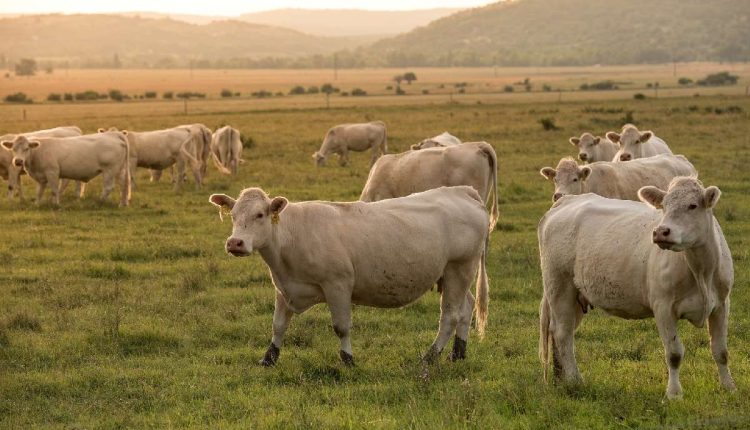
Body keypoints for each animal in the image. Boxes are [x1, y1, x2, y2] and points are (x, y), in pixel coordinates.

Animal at [0, 131, 131, 207]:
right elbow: (39, 191)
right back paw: (122, 203)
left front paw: (55, 204)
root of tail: (113, 134)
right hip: (120, 170)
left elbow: (54, 190)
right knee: (124, 185)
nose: (18, 161)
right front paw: (37, 204)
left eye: (26, 148)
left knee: (108, 187)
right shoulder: (41, 177)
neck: (39, 151)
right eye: (13, 148)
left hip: (110, 170)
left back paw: (99, 202)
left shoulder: (52, 172)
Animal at [210, 185, 494, 366]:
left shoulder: (337, 285)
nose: (235, 243)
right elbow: (278, 325)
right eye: (233, 216)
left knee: (450, 316)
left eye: (259, 214)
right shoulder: (285, 288)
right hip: (452, 275)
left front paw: (347, 359)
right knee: (466, 308)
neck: (291, 236)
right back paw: (458, 353)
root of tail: (463, 191)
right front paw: (269, 358)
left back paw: (430, 357)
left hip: (459, 268)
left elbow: (341, 326)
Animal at [540, 176, 740, 398]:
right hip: (559, 286)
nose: (661, 231)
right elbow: (674, 354)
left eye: (692, 205)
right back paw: (575, 380)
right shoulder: (663, 307)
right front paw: (674, 394)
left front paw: (729, 387)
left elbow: (721, 351)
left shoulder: (722, 305)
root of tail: (566, 201)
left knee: (560, 333)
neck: (701, 271)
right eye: (664, 206)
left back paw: (561, 378)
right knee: (562, 333)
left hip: (576, 295)